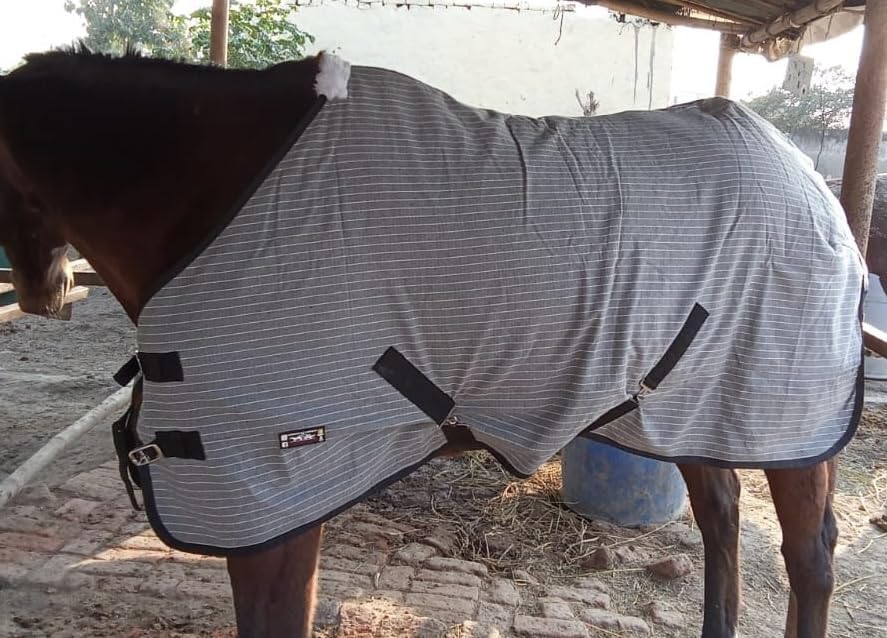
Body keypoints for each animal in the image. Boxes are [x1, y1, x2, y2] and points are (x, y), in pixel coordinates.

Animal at [0, 48, 863, 638]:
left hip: (785, 418)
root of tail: (808, 181)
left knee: (809, 555)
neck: (216, 197)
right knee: (721, 518)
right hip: (694, 411)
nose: (46, 295)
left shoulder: (274, 502)